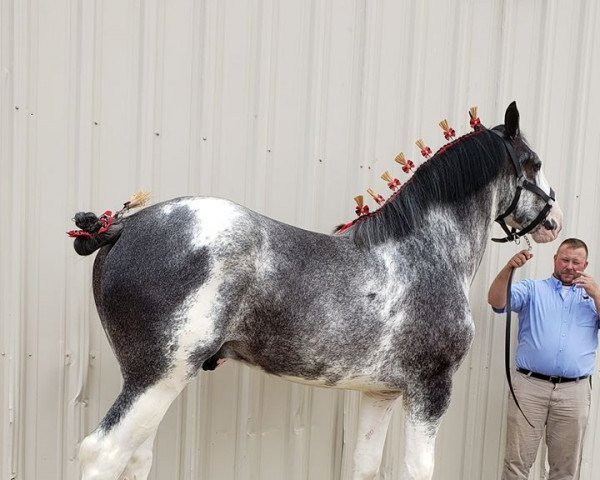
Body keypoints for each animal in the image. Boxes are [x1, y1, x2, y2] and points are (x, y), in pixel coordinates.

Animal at [74, 102, 564, 480]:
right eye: (535, 163)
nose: (554, 223)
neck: (426, 251)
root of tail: (122, 227)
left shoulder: (381, 393)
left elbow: (364, 464)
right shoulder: (431, 389)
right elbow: (417, 469)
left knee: (136, 457)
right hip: (158, 376)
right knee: (103, 455)